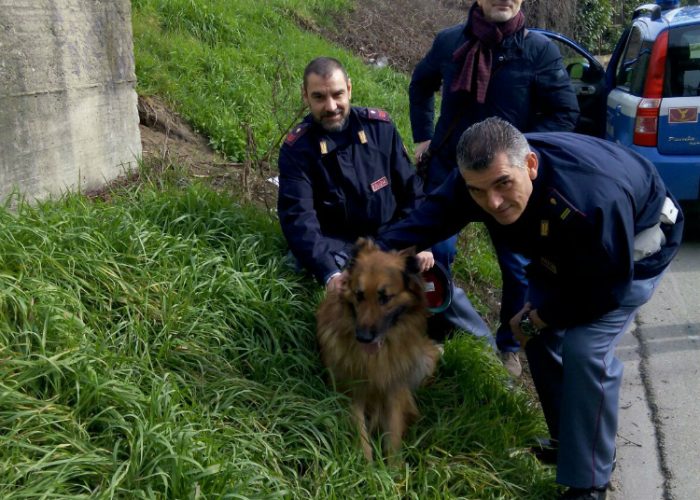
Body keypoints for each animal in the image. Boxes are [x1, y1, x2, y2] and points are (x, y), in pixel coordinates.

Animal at [316, 236, 438, 462]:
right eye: (359, 295)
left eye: (385, 298)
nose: (363, 338)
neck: (377, 358)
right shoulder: (351, 388)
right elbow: (361, 434)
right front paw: (366, 467)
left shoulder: (394, 389)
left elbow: (393, 436)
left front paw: (393, 469)